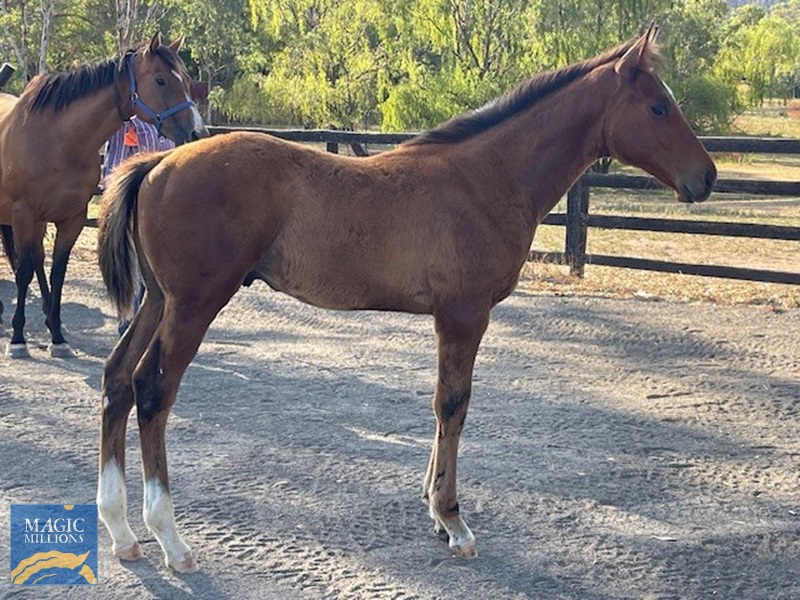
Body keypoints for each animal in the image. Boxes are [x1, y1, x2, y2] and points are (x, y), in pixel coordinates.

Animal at [0, 33, 208, 358]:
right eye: (160, 80)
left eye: (186, 80)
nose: (197, 133)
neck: (56, 138)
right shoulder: (23, 214)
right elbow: (23, 273)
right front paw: (18, 339)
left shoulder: (71, 218)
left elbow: (56, 272)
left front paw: (57, 336)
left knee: (38, 260)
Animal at [96, 27, 716, 572]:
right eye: (658, 108)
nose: (706, 177)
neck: (485, 178)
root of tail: (158, 162)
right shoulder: (464, 315)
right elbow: (453, 404)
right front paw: (453, 520)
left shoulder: (452, 317)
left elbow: (443, 405)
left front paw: (436, 511)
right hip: (194, 305)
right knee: (153, 391)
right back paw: (171, 540)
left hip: (158, 301)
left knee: (118, 379)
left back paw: (122, 532)